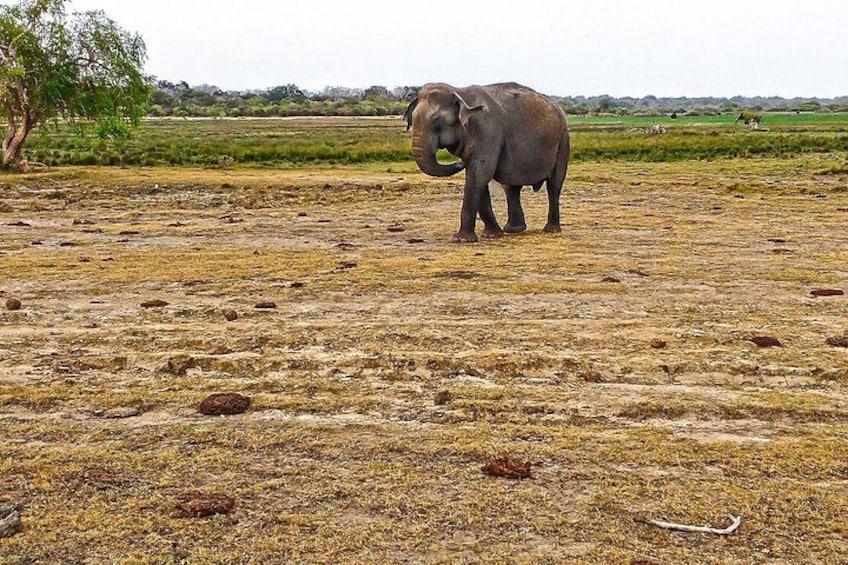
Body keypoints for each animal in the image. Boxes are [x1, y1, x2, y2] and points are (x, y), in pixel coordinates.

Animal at [404, 82, 570, 243]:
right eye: (412, 121)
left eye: (437, 121)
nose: (460, 163)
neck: (459, 92)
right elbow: (479, 177)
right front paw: (492, 235)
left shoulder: (487, 132)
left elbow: (479, 173)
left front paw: (462, 240)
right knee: (511, 187)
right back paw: (513, 230)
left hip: (563, 139)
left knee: (554, 185)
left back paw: (551, 229)